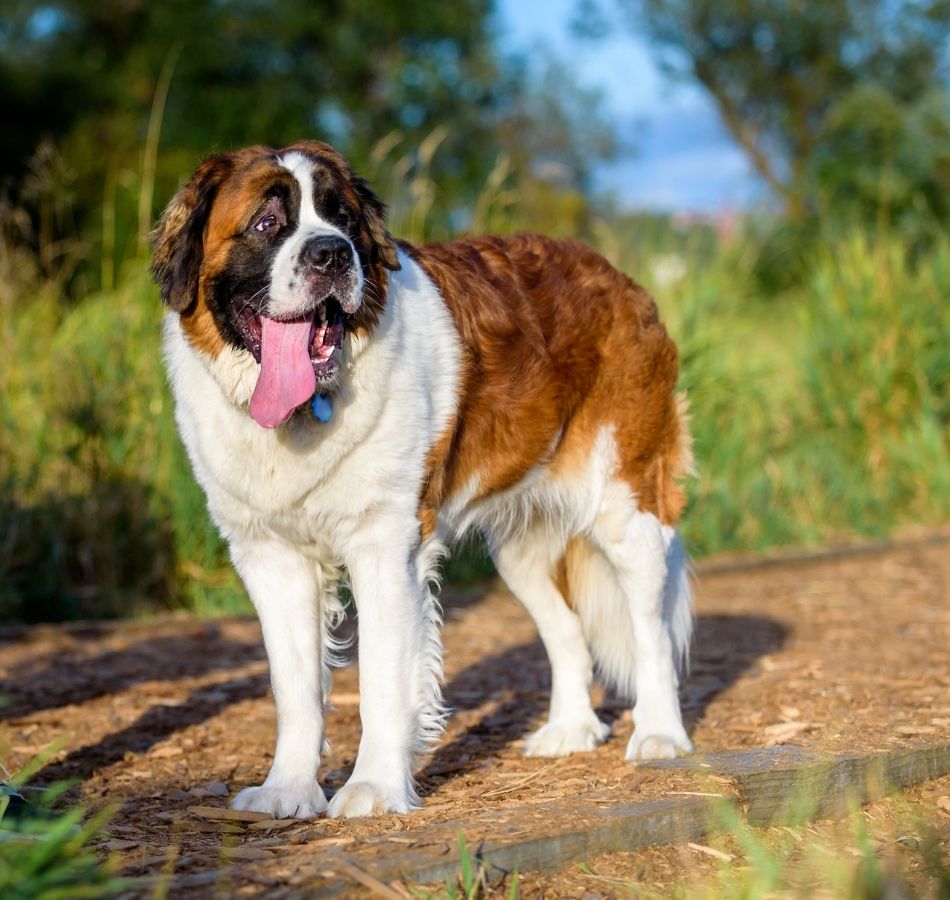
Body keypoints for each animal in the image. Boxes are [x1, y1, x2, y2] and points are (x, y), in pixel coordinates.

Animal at [152, 137, 696, 820]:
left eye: (343, 217)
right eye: (267, 222)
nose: (332, 253)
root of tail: (620, 280)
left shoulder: (386, 547)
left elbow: (383, 680)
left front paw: (374, 789)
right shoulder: (270, 558)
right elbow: (294, 686)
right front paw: (288, 790)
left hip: (626, 508)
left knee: (651, 627)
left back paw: (659, 734)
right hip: (521, 549)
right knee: (566, 628)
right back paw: (570, 729)